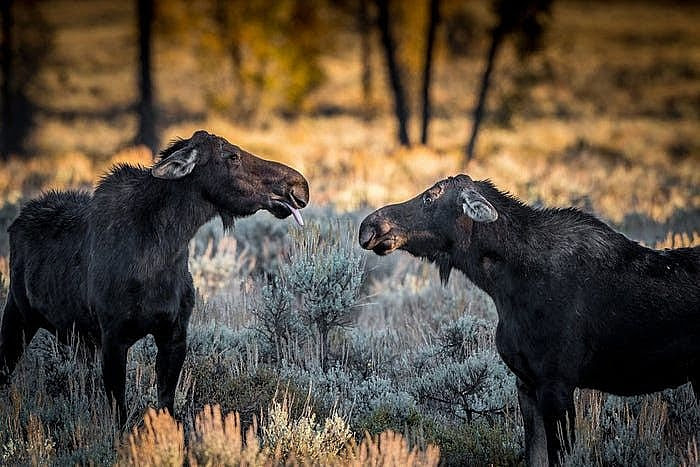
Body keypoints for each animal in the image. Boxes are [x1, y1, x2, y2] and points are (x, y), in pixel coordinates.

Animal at [0, 131, 308, 424]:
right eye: (232, 156)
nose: (299, 185)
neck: (164, 253)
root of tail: (16, 223)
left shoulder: (174, 333)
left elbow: (166, 405)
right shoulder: (113, 337)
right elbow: (119, 414)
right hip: (18, 315)